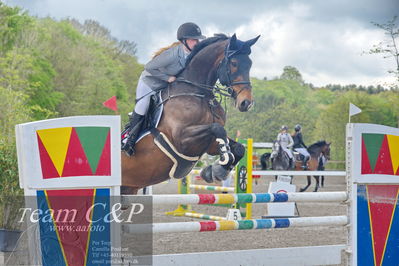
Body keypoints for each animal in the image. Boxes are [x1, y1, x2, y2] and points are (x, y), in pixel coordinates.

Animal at [120, 34, 260, 194]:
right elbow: (218, 129)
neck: (199, 93)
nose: (246, 103)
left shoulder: (209, 144)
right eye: (234, 63)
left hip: (128, 188)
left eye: (250, 64)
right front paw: (218, 167)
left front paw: (215, 171)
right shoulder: (182, 140)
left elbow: (238, 148)